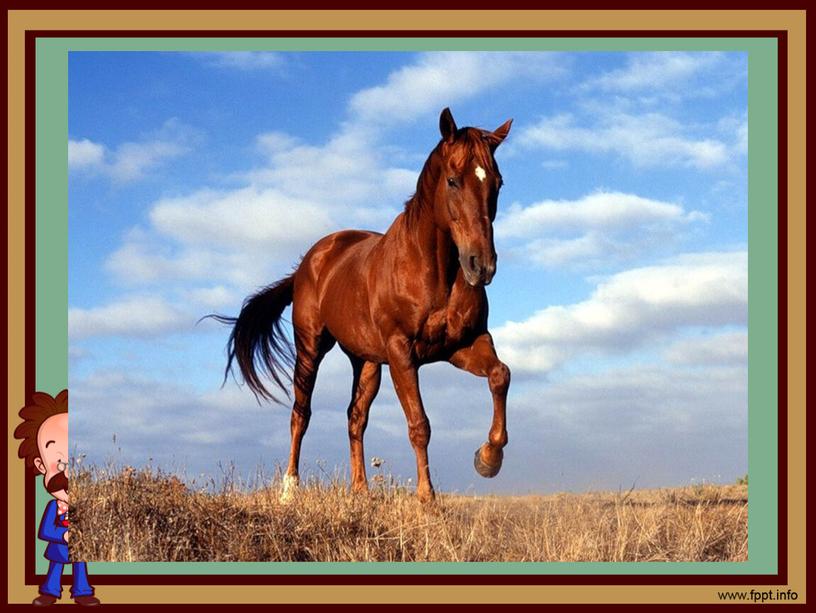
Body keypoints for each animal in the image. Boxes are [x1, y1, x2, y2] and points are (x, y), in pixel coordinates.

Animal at [214, 109, 512, 502]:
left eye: (498, 183)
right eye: (453, 180)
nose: (482, 265)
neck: (434, 271)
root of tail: (309, 262)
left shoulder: (463, 345)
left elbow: (500, 375)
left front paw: (488, 458)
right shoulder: (402, 352)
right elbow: (419, 424)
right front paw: (427, 499)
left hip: (366, 361)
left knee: (355, 417)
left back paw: (360, 491)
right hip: (310, 348)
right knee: (301, 414)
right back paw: (290, 490)